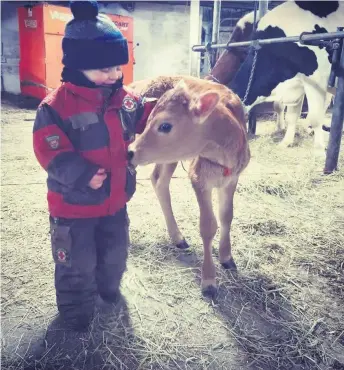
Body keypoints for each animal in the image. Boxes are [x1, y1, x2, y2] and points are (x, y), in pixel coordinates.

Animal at [128, 75, 250, 294]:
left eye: (165, 126)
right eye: (149, 121)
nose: (130, 152)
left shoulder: (232, 179)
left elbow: (227, 216)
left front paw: (227, 257)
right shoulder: (199, 177)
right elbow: (208, 225)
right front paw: (209, 280)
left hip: (170, 156)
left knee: (158, 179)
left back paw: (177, 237)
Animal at [230, 1, 342, 155]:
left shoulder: (316, 81)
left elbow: (315, 118)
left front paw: (319, 150)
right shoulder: (297, 84)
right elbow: (291, 116)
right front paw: (286, 142)